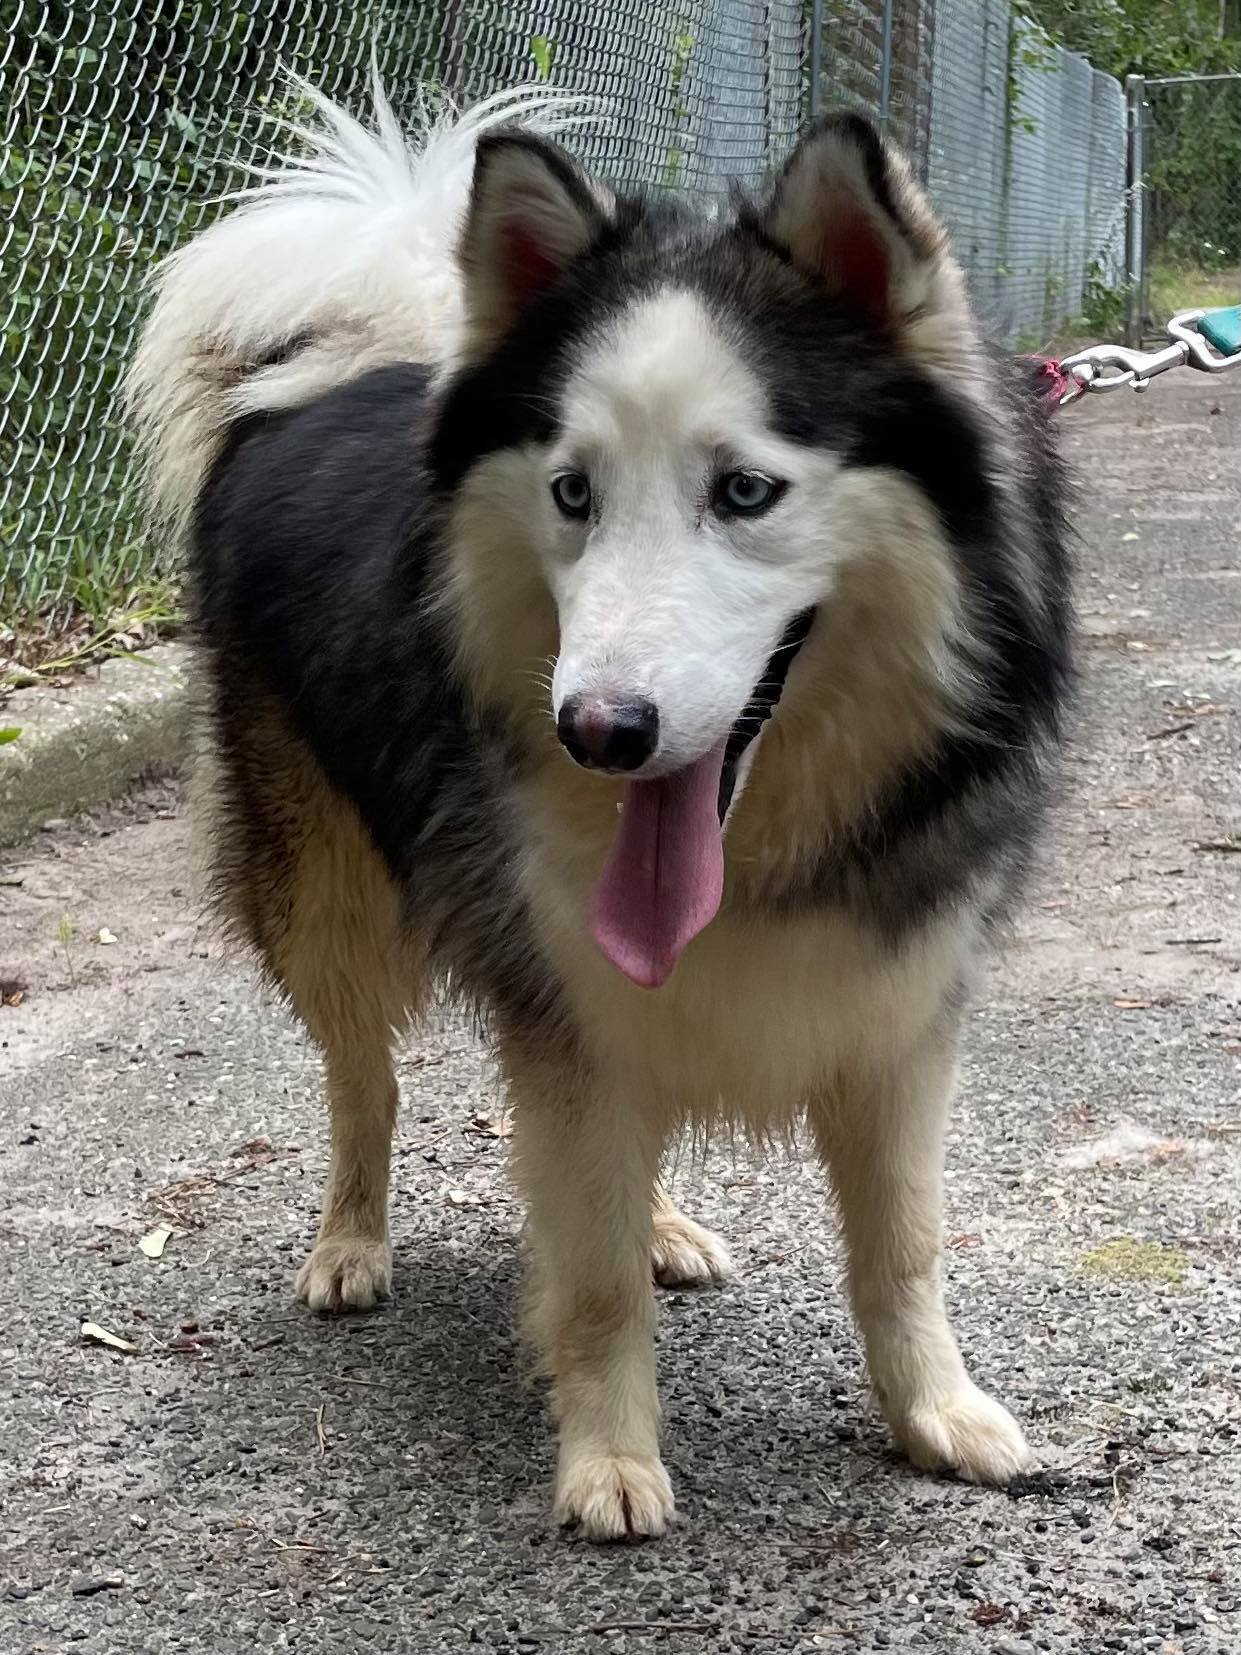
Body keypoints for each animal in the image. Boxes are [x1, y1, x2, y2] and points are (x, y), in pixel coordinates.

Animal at [129, 87, 1072, 1535]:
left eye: (743, 490)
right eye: (571, 491)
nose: (598, 731)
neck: (763, 842)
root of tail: (335, 378)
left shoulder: (898, 1004)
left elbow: (902, 1242)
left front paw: (934, 1410)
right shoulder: (559, 996)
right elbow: (589, 1271)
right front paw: (609, 1454)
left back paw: (664, 1216)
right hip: (321, 894)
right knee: (363, 1080)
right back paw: (351, 1234)